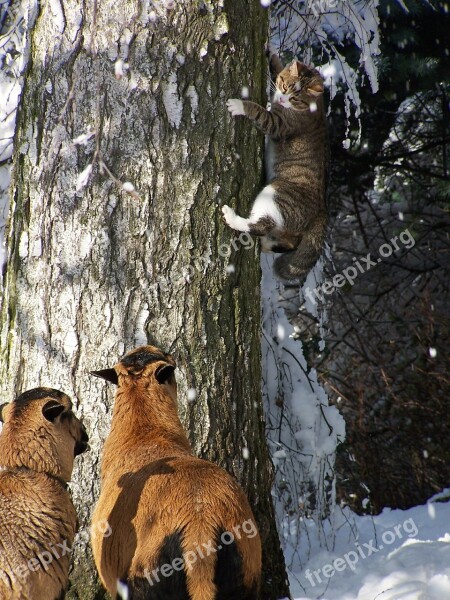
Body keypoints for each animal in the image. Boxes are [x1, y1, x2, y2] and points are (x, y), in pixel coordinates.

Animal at [223, 52, 328, 282]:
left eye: (296, 98)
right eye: (284, 85)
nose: (281, 99)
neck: (315, 106)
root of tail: (321, 212)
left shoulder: (280, 124)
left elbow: (261, 113)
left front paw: (240, 105)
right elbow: (277, 66)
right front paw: (271, 54)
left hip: (275, 195)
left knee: (260, 225)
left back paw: (232, 217)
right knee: (287, 242)